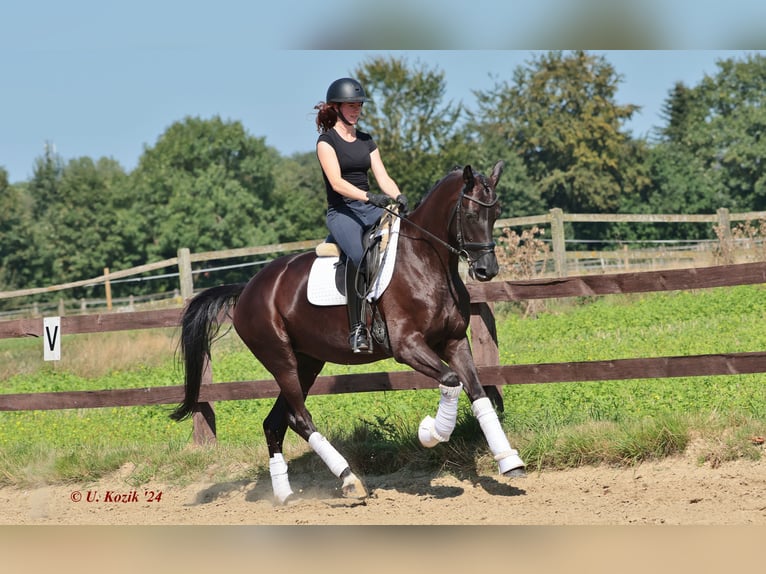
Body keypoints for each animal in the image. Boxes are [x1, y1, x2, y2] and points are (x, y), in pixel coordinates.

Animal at [170, 161, 524, 504]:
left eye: (496, 213)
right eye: (470, 214)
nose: (487, 270)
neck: (426, 262)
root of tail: (246, 289)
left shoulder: (454, 341)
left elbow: (477, 393)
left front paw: (510, 462)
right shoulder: (407, 346)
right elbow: (451, 381)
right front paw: (431, 432)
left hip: (307, 363)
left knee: (275, 422)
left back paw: (284, 495)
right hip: (281, 360)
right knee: (299, 418)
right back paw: (349, 480)